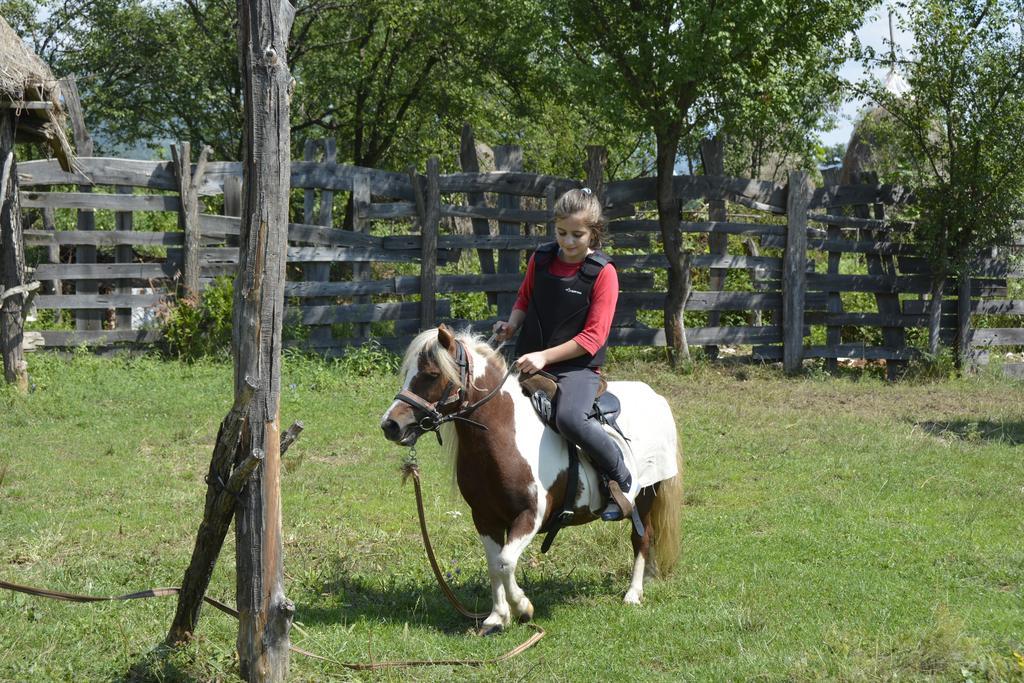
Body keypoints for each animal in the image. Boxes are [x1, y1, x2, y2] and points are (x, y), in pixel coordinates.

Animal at [378, 327, 679, 634]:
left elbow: (505, 562)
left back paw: (633, 593)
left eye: (432, 374)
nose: (390, 425)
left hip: (646, 495)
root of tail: (655, 397)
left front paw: (522, 607)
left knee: (641, 538)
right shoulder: (485, 517)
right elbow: (493, 564)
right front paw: (497, 617)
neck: (504, 434)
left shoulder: (530, 515)